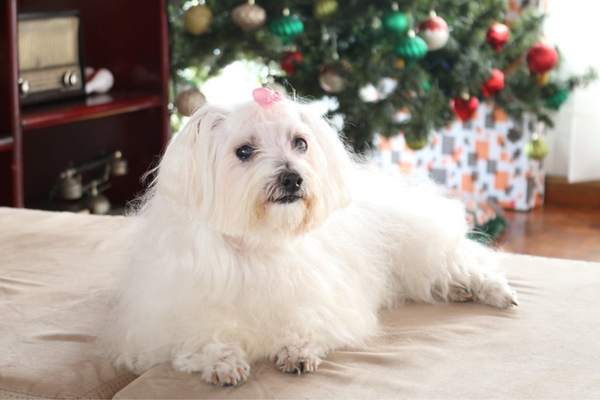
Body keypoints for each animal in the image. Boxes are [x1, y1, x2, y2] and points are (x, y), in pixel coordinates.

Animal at [105, 88, 516, 388]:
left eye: (300, 143)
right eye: (244, 151)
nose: (292, 177)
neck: (260, 241)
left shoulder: (323, 296)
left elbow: (308, 318)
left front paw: (297, 349)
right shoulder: (170, 313)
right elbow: (201, 335)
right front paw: (223, 361)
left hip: (421, 247)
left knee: (464, 263)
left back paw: (493, 291)